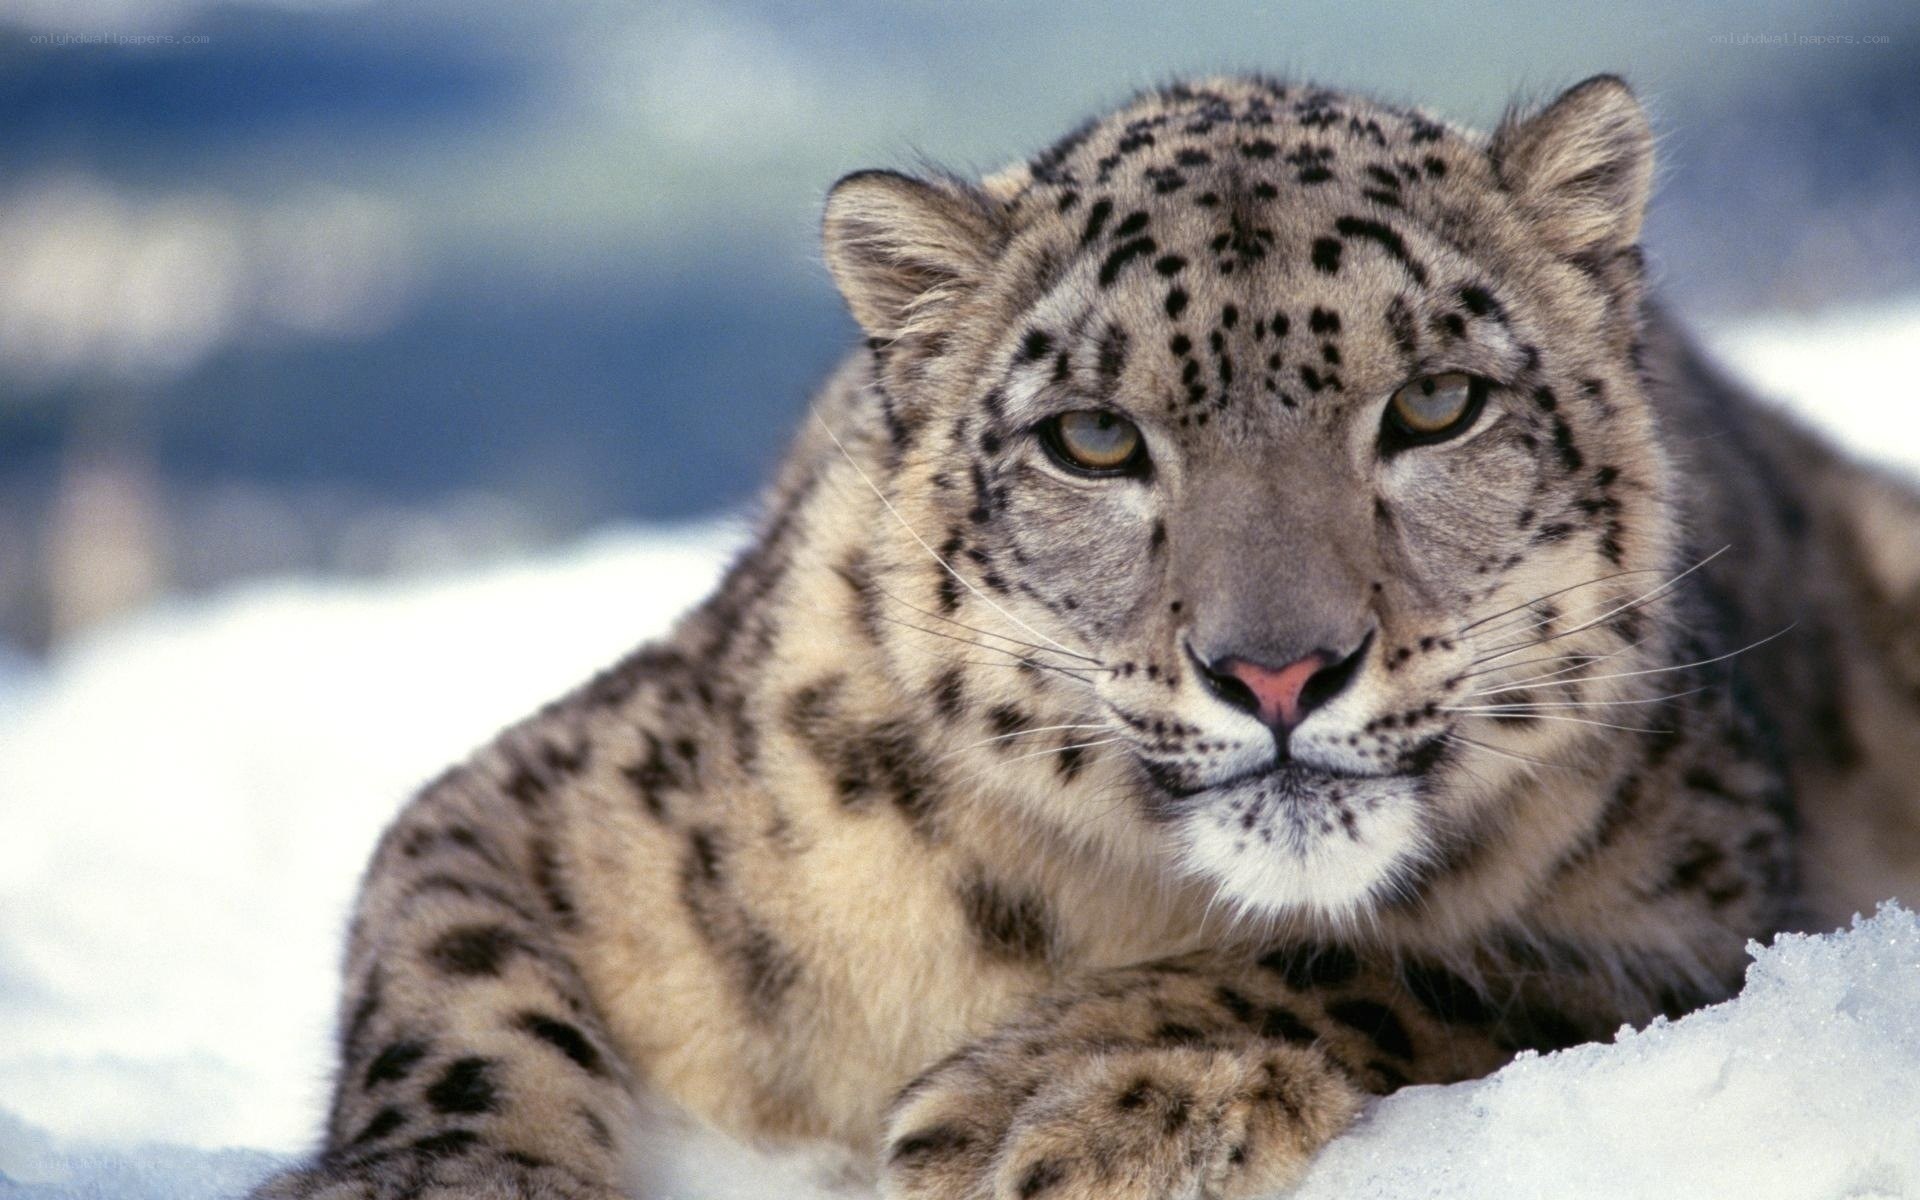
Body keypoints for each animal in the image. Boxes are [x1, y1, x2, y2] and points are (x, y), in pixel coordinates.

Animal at [252, 74, 1920, 1200]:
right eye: (1095, 438)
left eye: (1439, 402)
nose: (1276, 668)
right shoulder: (550, 801)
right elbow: (457, 983)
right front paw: (441, 1182)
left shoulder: (1703, 909)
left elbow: (1422, 960)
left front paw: (1056, 1100)